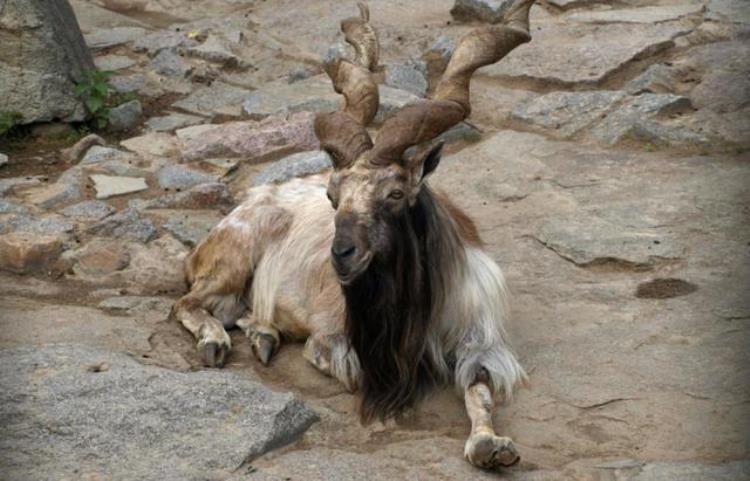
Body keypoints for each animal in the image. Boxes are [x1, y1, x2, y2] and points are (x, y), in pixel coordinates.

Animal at [173, 0, 536, 468]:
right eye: (332, 195)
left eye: (395, 193)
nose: (342, 254)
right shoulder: (334, 340)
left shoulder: (480, 339)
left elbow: (479, 387)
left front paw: (490, 446)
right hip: (233, 258)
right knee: (190, 302)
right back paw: (219, 340)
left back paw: (262, 335)